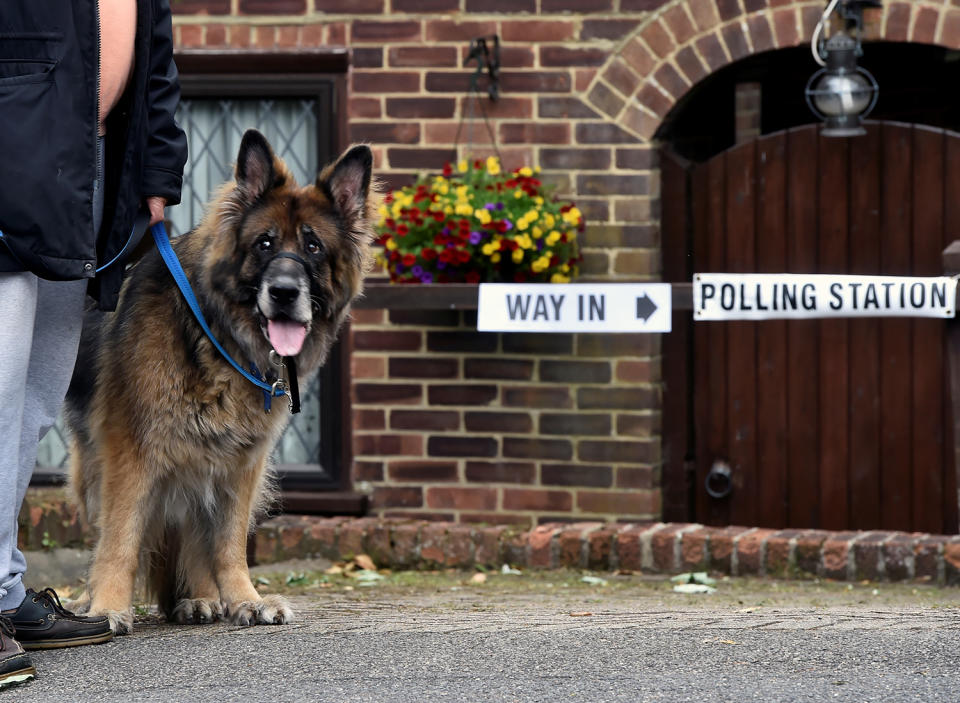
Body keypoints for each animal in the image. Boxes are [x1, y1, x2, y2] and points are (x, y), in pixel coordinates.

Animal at [63, 129, 376, 636]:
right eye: (265, 244)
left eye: (313, 248)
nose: (284, 293)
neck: (216, 333)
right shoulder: (131, 453)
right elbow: (121, 538)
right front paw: (107, 606)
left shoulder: (242, 461)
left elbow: (228, 544)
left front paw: (245, 598)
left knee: (195, 534)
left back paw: (201, 597)